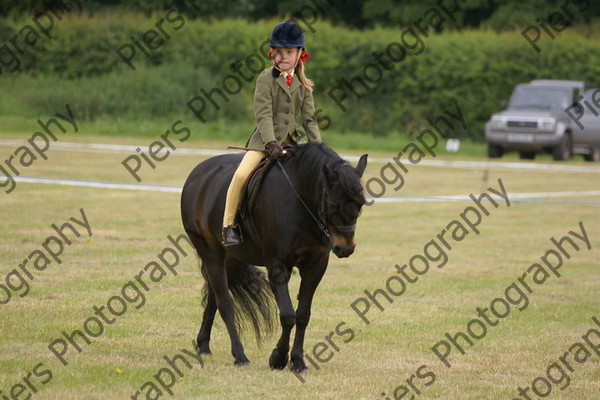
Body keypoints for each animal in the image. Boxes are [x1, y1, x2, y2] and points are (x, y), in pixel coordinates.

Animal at [179, 143, 366, 372]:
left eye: (361, 204)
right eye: (332, 204)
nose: (345, 248)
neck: (301, 202)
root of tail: (198, 172)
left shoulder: (315, 266)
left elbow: (302, 315)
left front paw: (298, 361)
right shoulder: (277, 266)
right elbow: (287, 315)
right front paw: (278, 358)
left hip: (234, 260)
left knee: (215, 298)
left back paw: (204, 345)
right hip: (210, 252)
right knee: (225, 303)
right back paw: (240, 356)